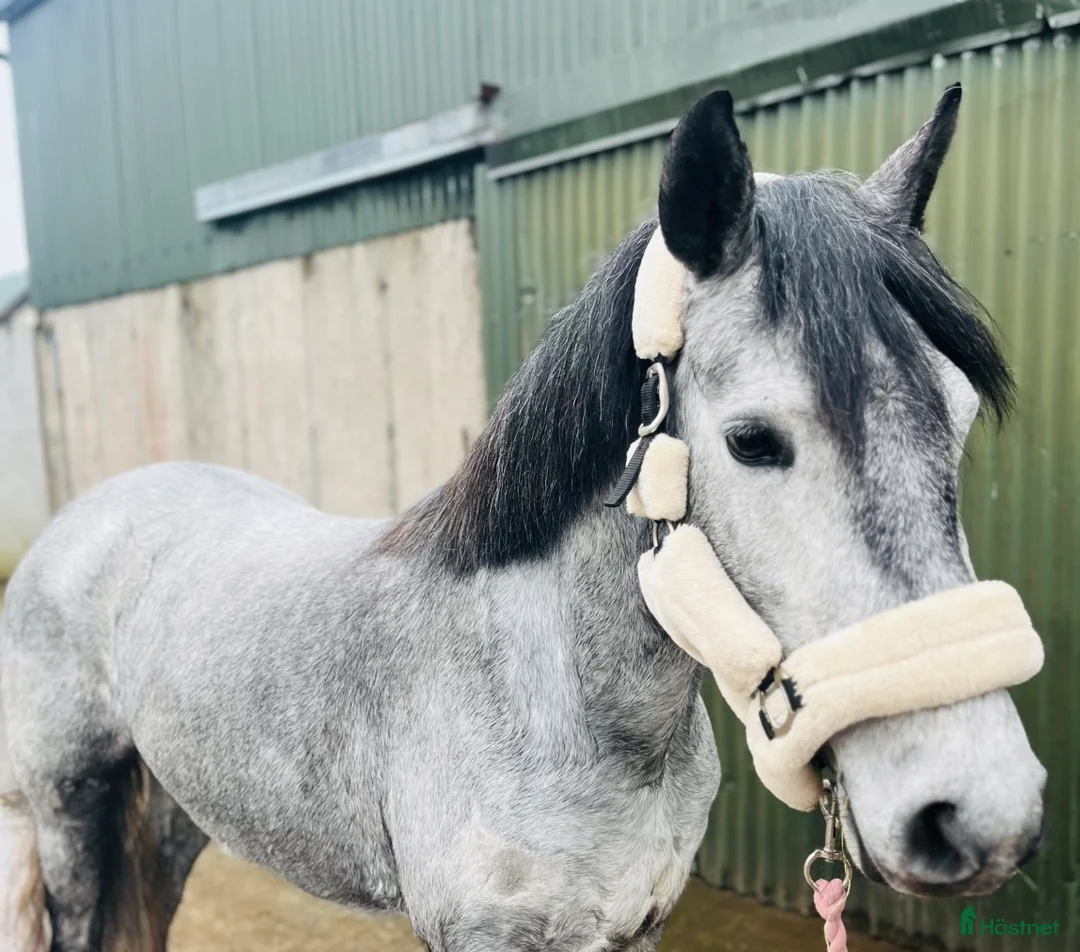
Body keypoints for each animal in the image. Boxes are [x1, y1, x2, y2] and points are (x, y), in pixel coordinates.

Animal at [0, 84, 1046, 952]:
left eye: (958, 417)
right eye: (753, 440)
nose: (978, 812)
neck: (565, 703)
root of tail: (85, 517)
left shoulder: (634, 927)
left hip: (177, 814)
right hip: (69, 813)